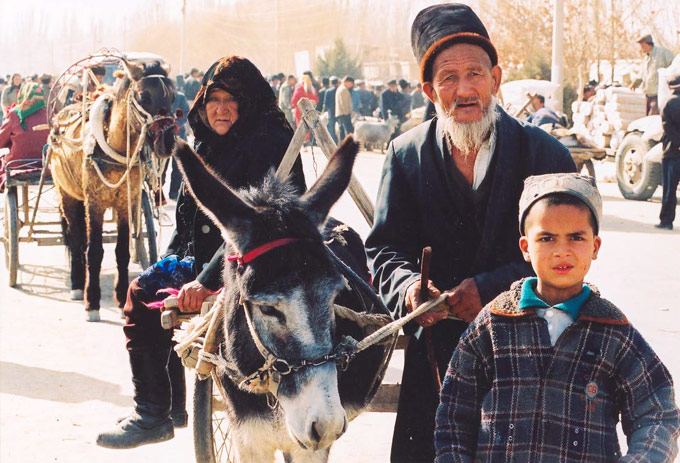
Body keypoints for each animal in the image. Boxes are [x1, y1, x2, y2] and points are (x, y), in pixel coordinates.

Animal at [49, 60, 177, 322]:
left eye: (172, 96)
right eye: (143, 96)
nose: (167, 141)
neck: (114, 147)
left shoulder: (126, 203)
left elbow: (122, 251)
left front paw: (121, 298)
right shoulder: (94, 203)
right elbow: (94, 251)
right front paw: (92, 303)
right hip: (68, 196)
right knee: (76, 239)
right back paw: (77, 285)